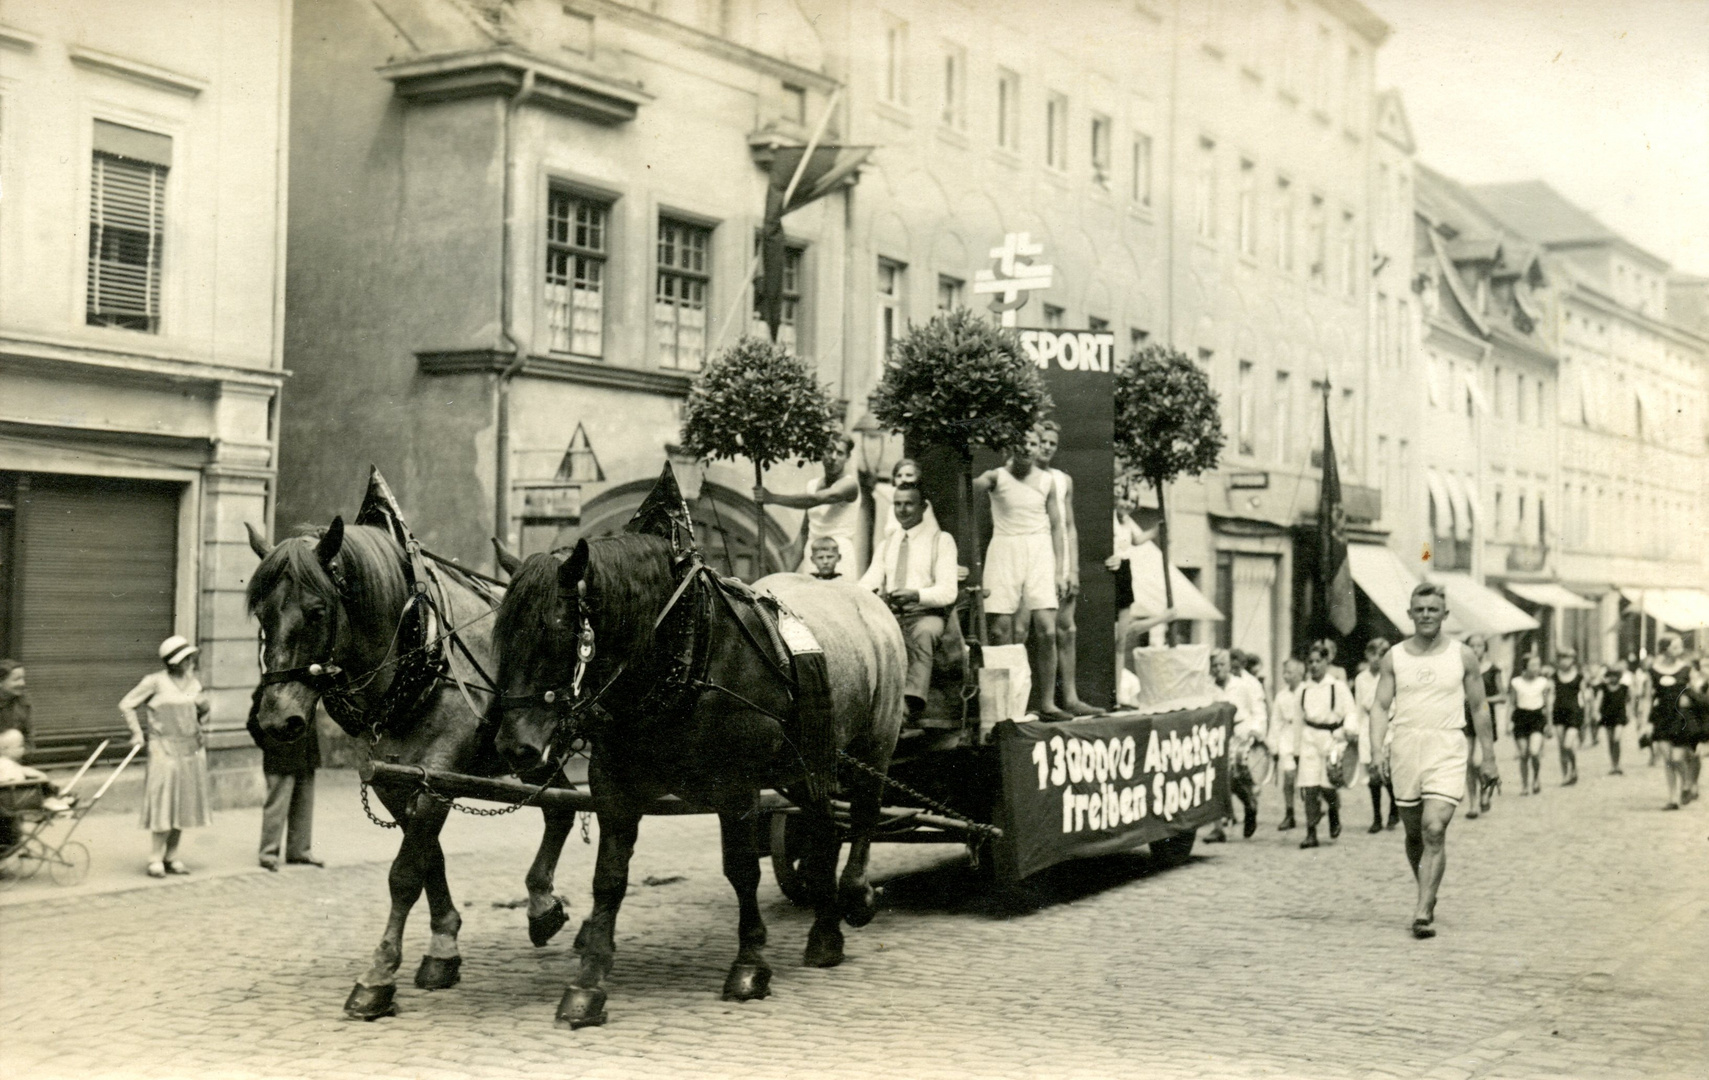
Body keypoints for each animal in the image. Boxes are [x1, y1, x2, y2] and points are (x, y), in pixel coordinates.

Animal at [246, 519, 581, 1018]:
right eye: (262, 615)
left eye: (317, 611)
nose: (275, 720)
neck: (420, 654)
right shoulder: (397, 779)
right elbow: (428, 859)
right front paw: (443, 947)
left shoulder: (438, 771)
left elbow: (404, 874)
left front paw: (378, 975)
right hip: (527, 752)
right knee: (561, 806)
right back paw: (543, 905)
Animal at [488, 536, 909, 1032]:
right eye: (502, 636)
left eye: (554, 632)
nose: (515, 748)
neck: (684, 653)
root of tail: (869, 599)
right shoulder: (613, 788)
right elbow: (608, 880)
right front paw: (588, 984)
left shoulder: (738, 787)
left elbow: (742, 871)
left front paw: (749, 963)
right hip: (809, 765)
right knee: (823, 834)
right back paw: (825, 935)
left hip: (874, 744)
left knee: (864, 813)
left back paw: (856, 895)